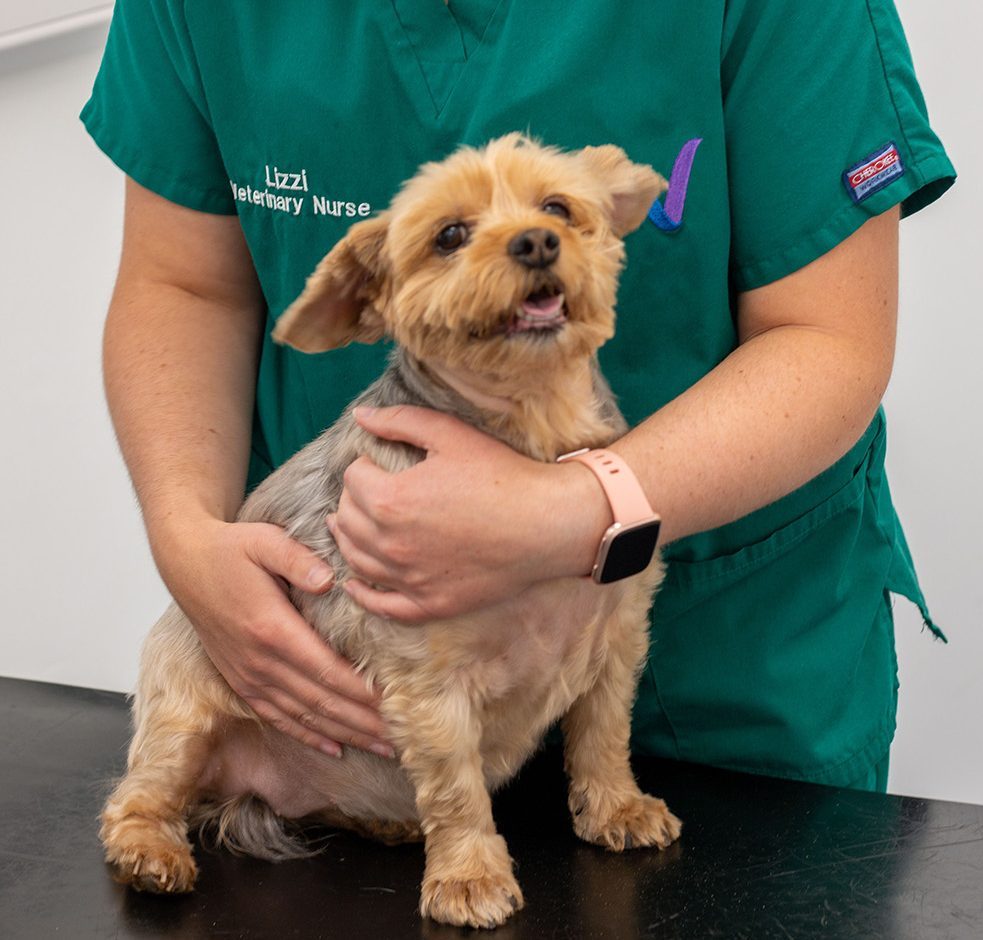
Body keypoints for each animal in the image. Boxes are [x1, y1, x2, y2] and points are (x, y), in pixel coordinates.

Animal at [102, 136, 684, 928]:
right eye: (450, 234)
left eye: (558, 207)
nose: (537, 241)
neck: (532, 434)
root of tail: (254, 792)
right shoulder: (427, 683)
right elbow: (456, 789)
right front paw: (468, 876)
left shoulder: (616, 639)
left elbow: (603, 737)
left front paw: (618, 809)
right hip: (182, 709)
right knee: (138, 795)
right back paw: (149, 852)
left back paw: (383, 821)